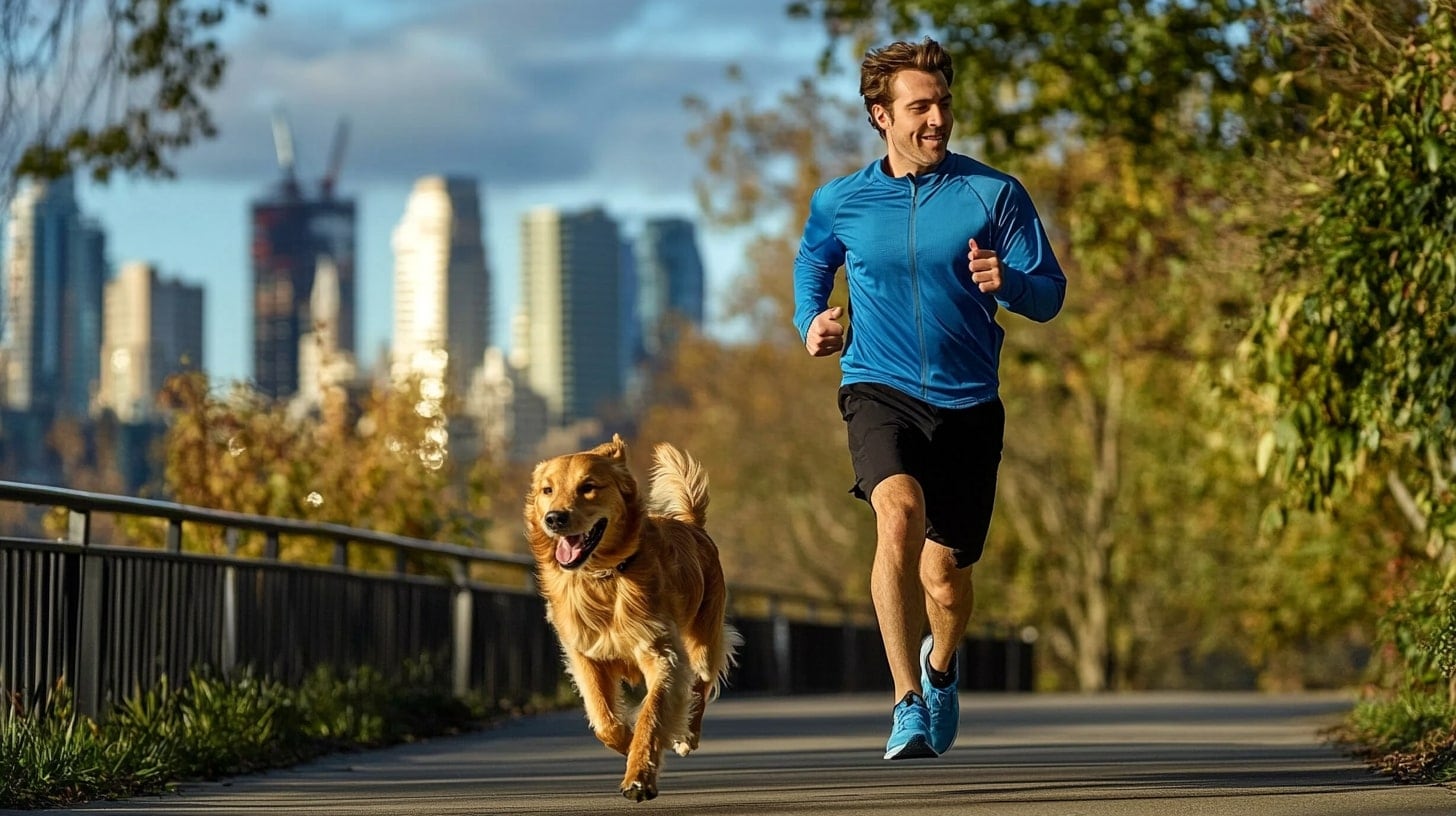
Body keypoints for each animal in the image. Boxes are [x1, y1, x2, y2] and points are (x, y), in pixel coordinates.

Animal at [527, 437, 739, 798]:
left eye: (588, 487)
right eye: (547, 490)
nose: (555, 518)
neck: (605, 577)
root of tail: (691, 524)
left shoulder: (661, 652)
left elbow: (651, 714)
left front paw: (639, 774)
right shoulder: (585, 654)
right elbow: (605, 721)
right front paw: (627, 746)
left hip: (704, 642)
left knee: (701, 685)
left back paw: (687, 735)